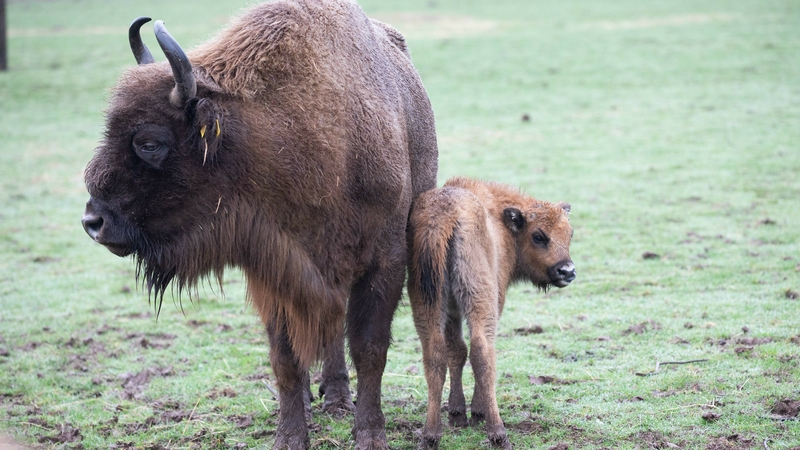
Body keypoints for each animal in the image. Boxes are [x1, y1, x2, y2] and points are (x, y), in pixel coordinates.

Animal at [81, 0, 437, 448]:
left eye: (149, 142)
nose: (93, 221)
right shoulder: (276, 267)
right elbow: (285, 357)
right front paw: (290, 434)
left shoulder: (385, 261)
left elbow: (369, 348)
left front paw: (370, 434)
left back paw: (338, 399)